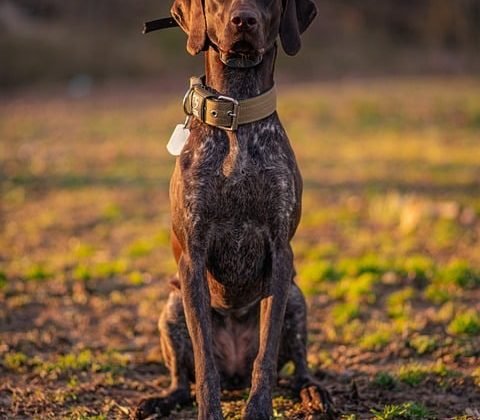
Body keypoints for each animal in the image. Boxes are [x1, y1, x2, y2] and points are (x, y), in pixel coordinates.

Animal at [133, 0, 332, 420]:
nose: (244, 20)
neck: (236, 112)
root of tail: (235, 372)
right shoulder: (193, 257)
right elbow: (204, 362)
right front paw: (209, 411)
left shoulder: (280, 253)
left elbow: (267, 355)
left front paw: (258, 409)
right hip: (171, 307)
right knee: (182, 381)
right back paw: (159, 400)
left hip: (295, 298)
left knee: (299, 367)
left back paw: (313, 392)